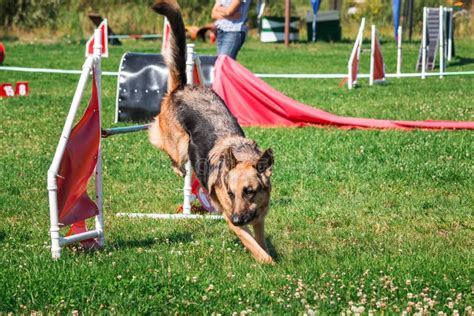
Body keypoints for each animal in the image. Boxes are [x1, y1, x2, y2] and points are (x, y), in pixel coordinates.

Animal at [148, 0, 274, 264]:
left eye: (249, 192)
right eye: (231, 193)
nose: (237, 218)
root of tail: (183, 87)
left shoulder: (258, 219)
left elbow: (261, 242)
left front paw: (267, 254)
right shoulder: (234, 221)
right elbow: (255, 247)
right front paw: (270, 263)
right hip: (177, 144)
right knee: (164, 147)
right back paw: (178, 168)